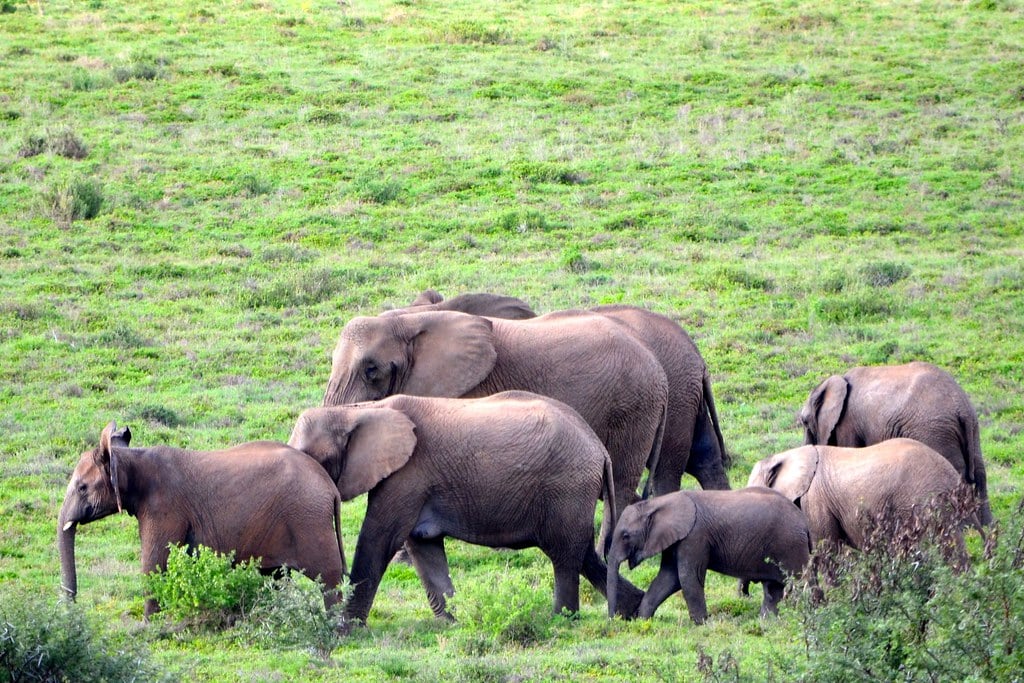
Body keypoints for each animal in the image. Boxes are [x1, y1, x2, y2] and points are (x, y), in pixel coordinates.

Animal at [58, 422, 346, 618]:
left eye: (82, 487)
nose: (72, 607)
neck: (131, 459)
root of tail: (330, 488)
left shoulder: (164, 506)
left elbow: (154, 563)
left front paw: (150, 626)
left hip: (309, 519)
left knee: (329, 579)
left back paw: (336, 628)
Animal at [287, 391, 646, 626]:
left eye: (315, 459)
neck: (357, 411)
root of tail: (600, 449)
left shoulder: (408, 475)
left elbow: (379, 539)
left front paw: (345, 628)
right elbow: (425, 549)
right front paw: (453, 623)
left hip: (566, 487)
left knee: (564, 556)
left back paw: (561, 620)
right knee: (581, 553)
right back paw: (632, 611)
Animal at [606, 487, 811, 624]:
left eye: (625, 536)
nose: (614, 621)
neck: (657, 503)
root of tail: (804, 521)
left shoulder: (695, 536)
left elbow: (687, 578)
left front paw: (702, 625)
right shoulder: (676, 540)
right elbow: (668, 579)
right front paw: (643, 621)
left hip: (791, 545)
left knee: (800, 582)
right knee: (773, 589)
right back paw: (767, 623)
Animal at [799, 361, 991, 525]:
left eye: (804, 421)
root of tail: (961, 408)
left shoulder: (847, 422)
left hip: (934, 431)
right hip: (972, 428)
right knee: (980, 472)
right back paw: (984, 527)